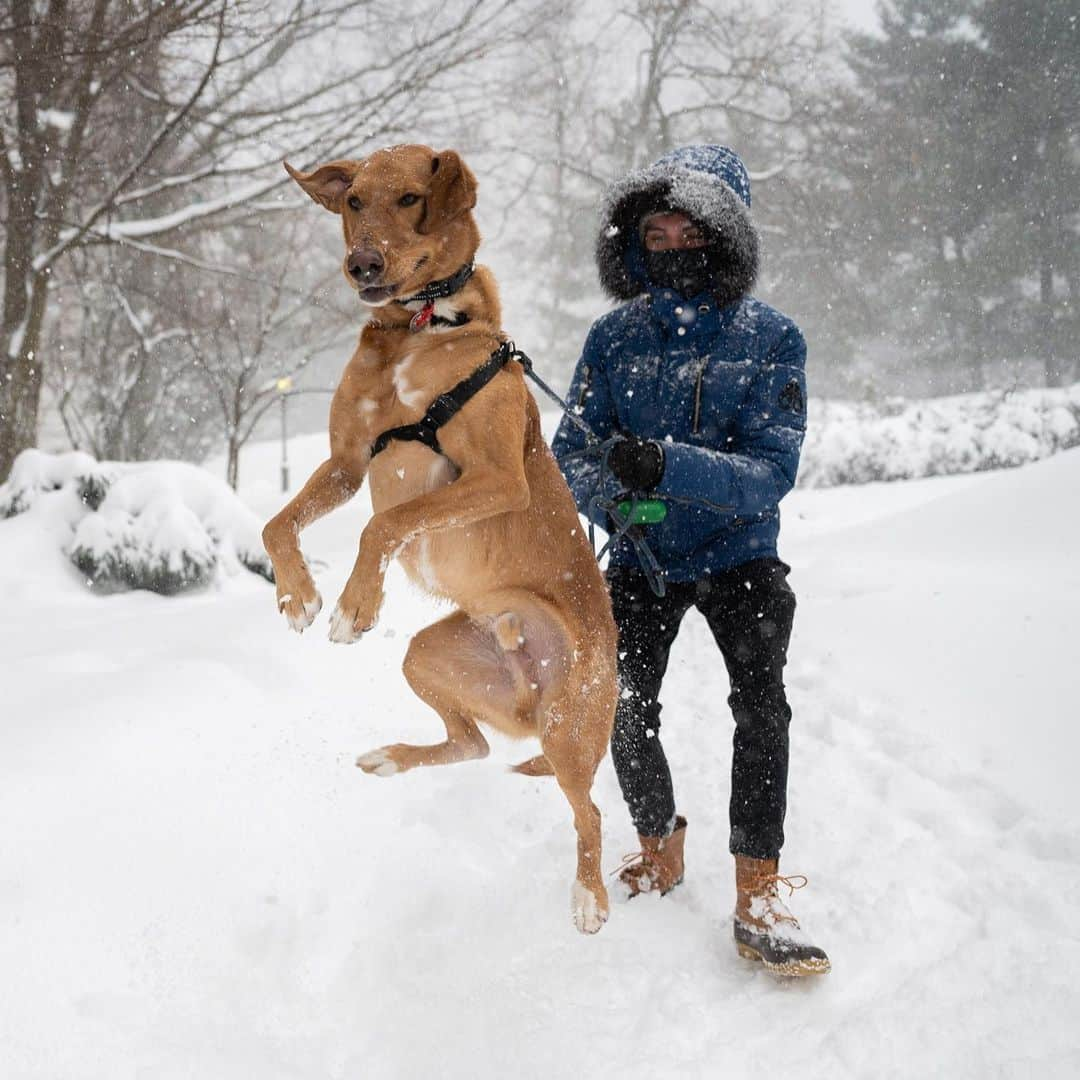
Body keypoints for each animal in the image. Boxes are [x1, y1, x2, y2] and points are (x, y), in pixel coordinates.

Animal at [261, 145, 617, 928]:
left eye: (410, 199)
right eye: (353, 201)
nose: (361, 263)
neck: (419, 327)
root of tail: (527, 689)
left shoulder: (495, 477)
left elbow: (386, 522)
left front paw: (354, 604)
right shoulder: (345, 462)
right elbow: (278, 524)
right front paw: (298, 595)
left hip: (571, 724)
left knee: (591, 811)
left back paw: (590, 895)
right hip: (431, 656)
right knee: (473, 744)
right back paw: (393, 756)